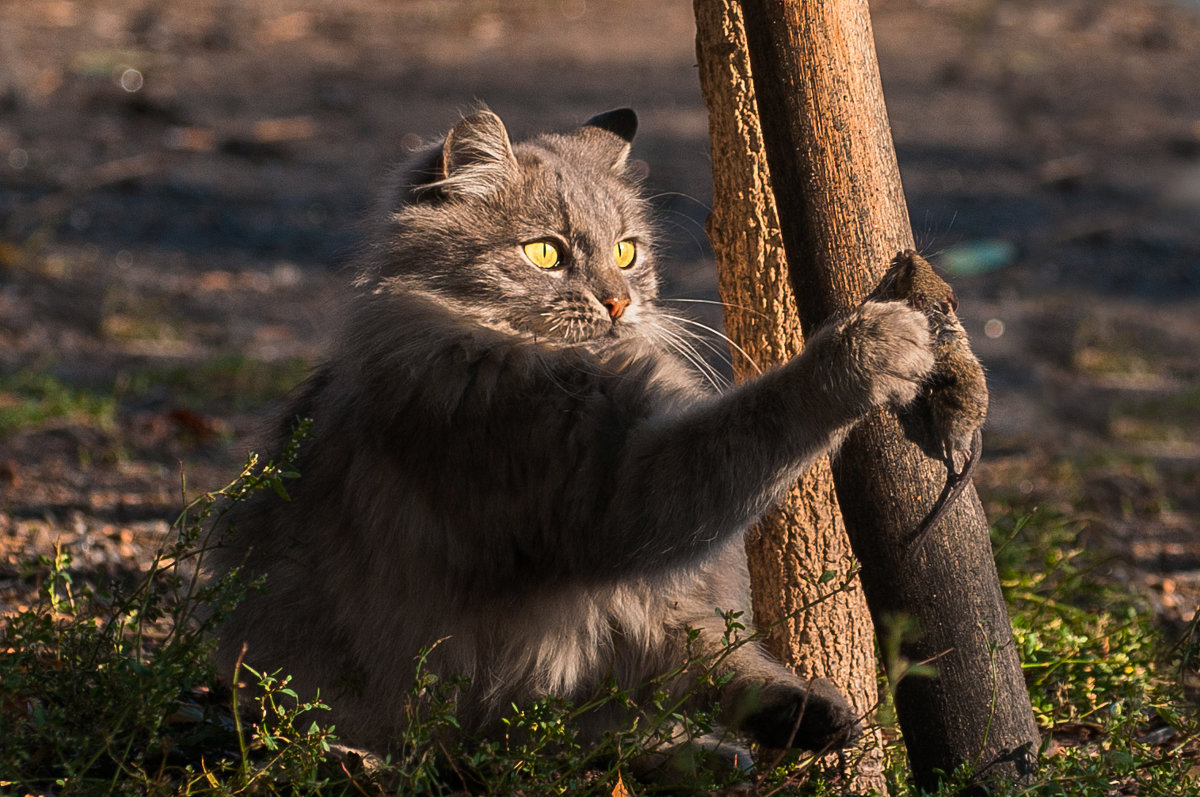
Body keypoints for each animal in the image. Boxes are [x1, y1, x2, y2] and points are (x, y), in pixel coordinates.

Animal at [211, 109, 931, 768]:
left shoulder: (661, 602)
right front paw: (867, 346)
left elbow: (724, 659)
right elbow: (755, 421)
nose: (618, 304)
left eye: (626, 252)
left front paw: (807, 708)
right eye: (545, 254)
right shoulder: (608, 489)